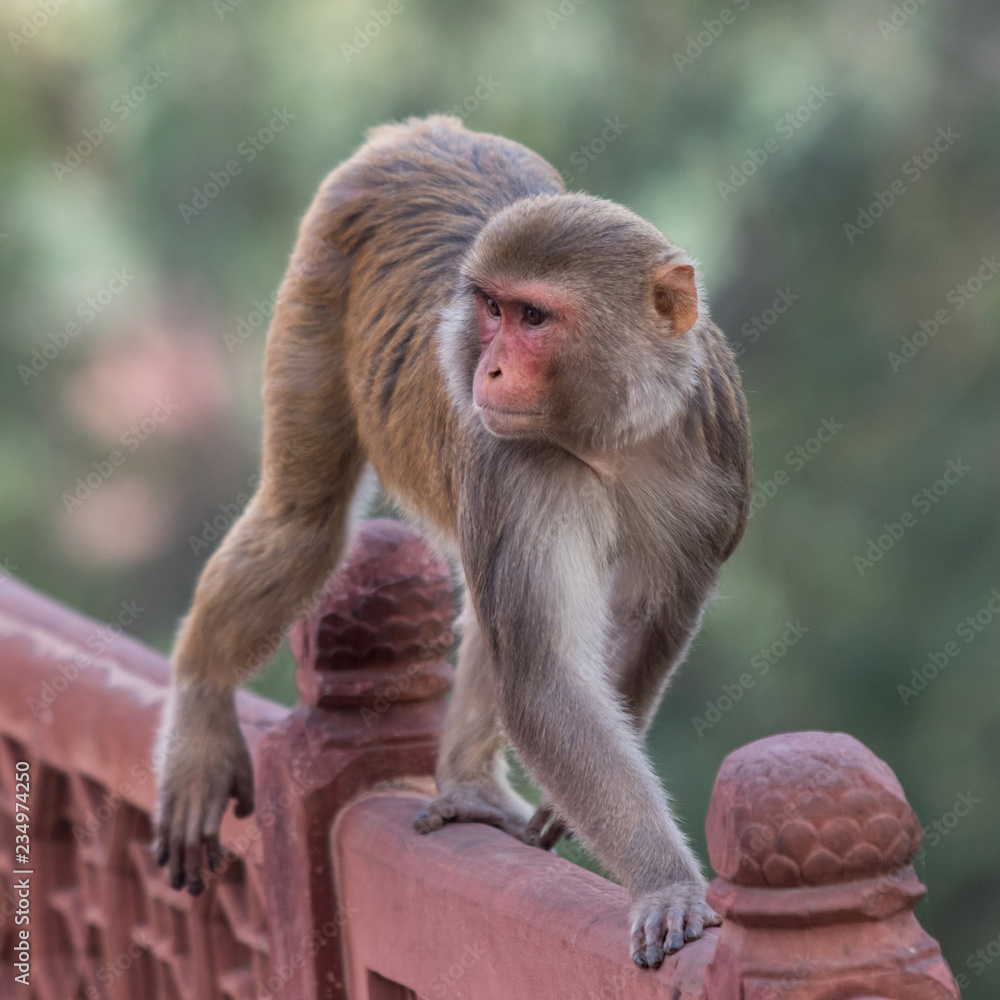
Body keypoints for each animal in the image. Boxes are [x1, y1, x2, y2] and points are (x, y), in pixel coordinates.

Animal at [154, 114, 751, 969]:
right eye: (490, 309)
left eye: (533, 318)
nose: (489, 369)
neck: (612, 429)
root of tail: (427, 134)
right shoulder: (515, 464)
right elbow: (543, 681)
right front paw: (665, 882)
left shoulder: (714, 451)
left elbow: (642, 623)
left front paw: (569, 816)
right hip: (320, 265)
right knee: (303, 521)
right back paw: (202, 702)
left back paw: (464, 780)